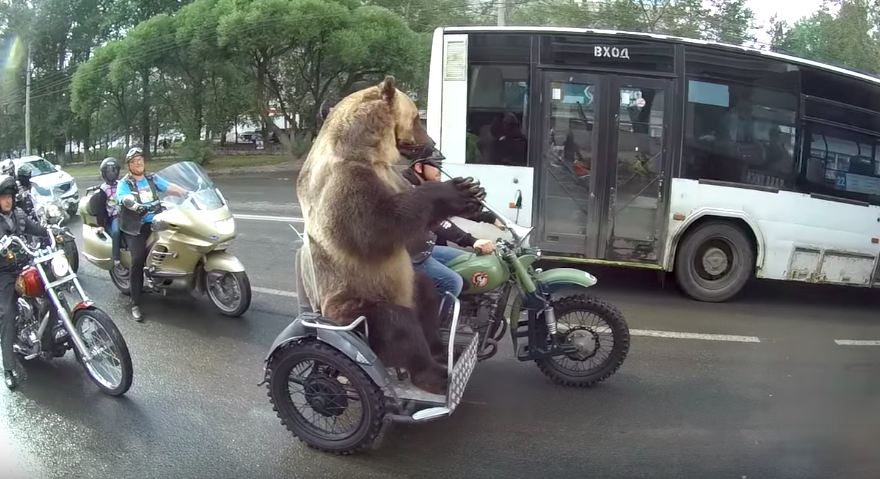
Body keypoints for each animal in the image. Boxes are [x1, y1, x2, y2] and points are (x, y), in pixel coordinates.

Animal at [296, 75, 485, 394]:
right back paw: (435, 374)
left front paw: (474, 194)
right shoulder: (344, 184)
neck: (369, 151)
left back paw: (441, 349)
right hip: (354, 304)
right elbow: (379, 226)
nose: (433, 144)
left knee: (425, 294)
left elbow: (412, 236)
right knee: (397, 324)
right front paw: (458, 190)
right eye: (417, 118)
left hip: (406, 286)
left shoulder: (391, 177)